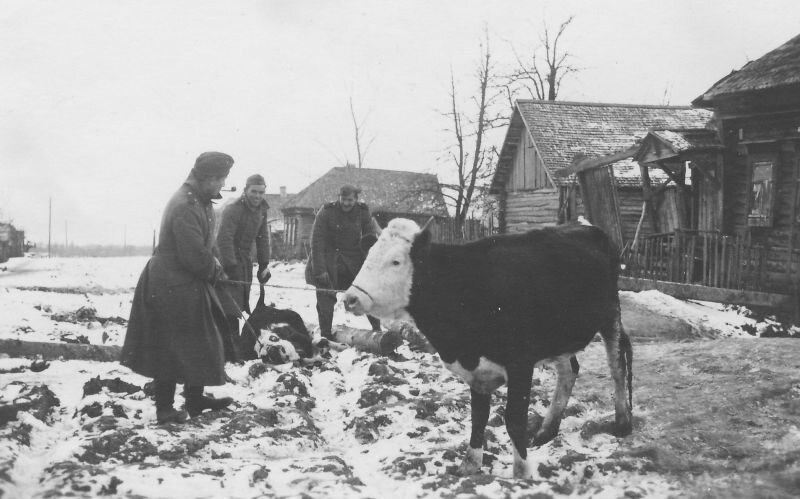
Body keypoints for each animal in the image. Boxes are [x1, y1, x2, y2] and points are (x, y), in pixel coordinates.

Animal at [342, 220, 632, 480]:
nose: (350, 298)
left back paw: (622, 422)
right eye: (368, 256)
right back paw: (546, 431)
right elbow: (478, 417)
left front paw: (522, 473)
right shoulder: (477, 371)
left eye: (396, 262)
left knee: (617, 362)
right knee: (569, 370)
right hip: (557, 336)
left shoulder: (520, 363)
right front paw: (469, 465)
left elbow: (513, 419)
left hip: (610, 313)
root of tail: (588, 228)